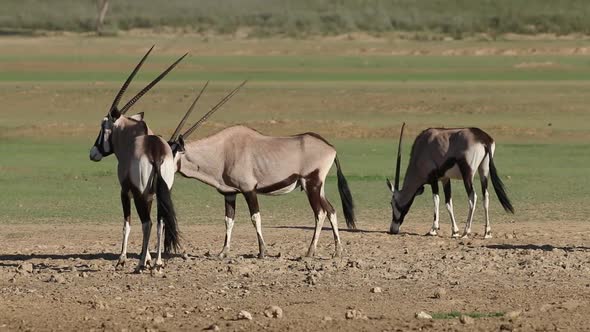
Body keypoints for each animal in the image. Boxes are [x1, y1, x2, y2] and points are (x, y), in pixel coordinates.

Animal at [89, 46, 186, 270]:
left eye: (103, 126)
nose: (93, 153)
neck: (133, 136)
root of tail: (155, 152)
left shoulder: (126, 191)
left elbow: (128, 223)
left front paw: (123, 258)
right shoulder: (151, 194)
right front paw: (148, 257)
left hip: (140, 194)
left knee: (147, 222)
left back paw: (141, 264)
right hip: (161, 191)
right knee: (160, 222)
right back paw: (157, 262)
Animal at [169, 83, 358, 260]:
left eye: (171, 154)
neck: (222, 151)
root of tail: (330, 147)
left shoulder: (249, 189)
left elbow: (255, 218)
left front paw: (262, 252)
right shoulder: (229, 193)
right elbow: (228, 220)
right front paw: (223, 252)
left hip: (311, 184)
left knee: (320, 213)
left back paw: (310, 252)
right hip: (318, 187)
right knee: (331, 210)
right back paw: (337, 251)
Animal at [386, 123, 516, 237]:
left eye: (392, 203)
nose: (393, 229)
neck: (422, 148)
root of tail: (483, 138)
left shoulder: (433, 179)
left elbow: (436, 200)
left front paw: (433, 229)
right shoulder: (445, 179)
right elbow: (448, 203)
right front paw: (455, 231)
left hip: (467, 175)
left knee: (473, 197)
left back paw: (466, 231)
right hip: (483, 170)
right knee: (486, 196)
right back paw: (487, 233)